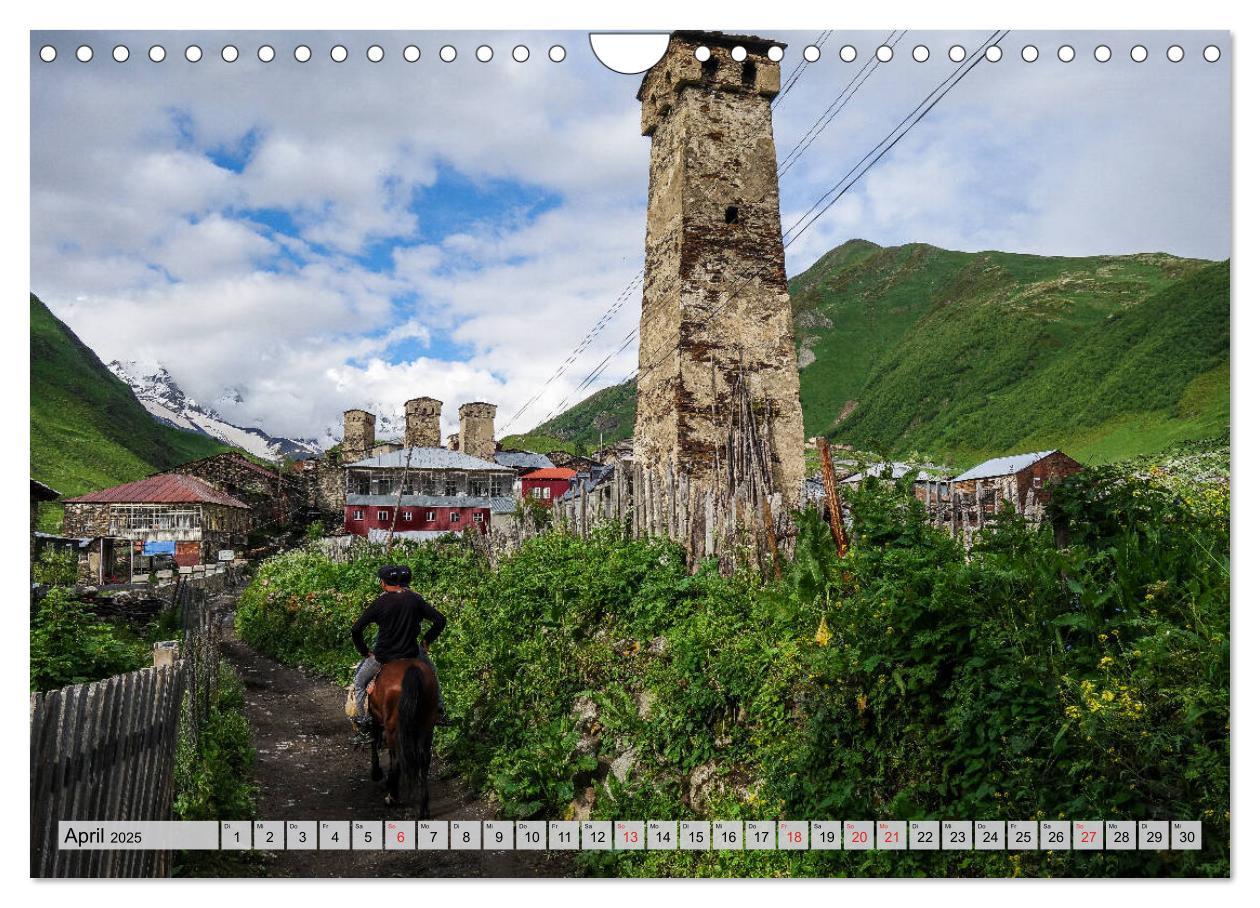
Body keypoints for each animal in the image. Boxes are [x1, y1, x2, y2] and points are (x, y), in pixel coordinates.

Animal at [365, 654, 438, 811]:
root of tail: (413, 670)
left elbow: (374, 741)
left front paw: (377, 773)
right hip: (427, 724)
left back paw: (392, 797)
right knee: (424, 758)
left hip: (393, 726)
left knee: (397, 759)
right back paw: (423, 808)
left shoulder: (374, 717)